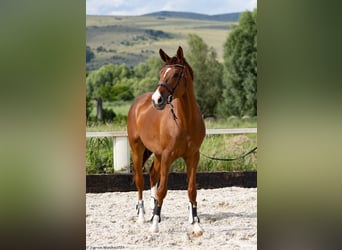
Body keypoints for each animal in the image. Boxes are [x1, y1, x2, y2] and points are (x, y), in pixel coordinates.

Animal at [127, 47, 204, 236]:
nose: (157, 100)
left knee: (152, 175)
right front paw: (154, 225)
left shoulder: (193, 157)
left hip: (157, 154)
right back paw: (142, 216)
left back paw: (155, 211)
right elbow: (163, 190)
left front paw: (196, 225)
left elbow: (192, 190)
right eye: (161, 73)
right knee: (140, 180)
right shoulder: (168, 156)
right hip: (137, 149)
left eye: (176, 74)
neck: (185, 121)